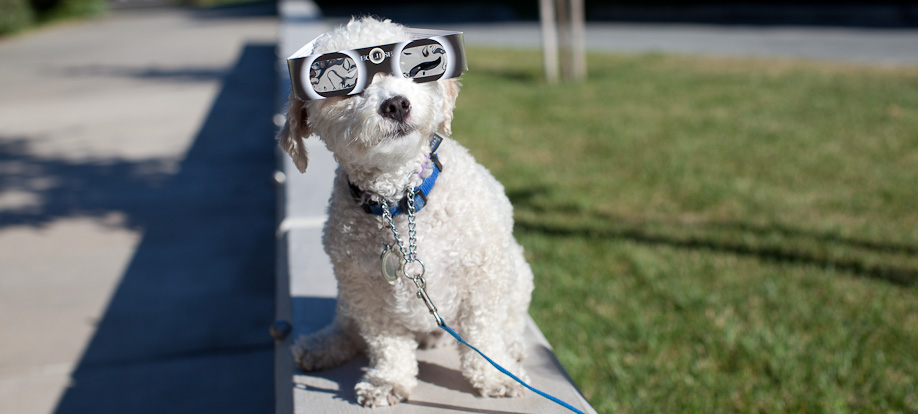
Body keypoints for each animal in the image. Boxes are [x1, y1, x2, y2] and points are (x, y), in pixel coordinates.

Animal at [276, 17, 536, 408]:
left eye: (409, 69)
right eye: (343, 86)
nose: (396, 104)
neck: (400, 200)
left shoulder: (484, 276)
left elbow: (484, 333)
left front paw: (496, 375)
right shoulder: (364, 290)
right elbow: (386, 344)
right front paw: (389, 381)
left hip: (518, 274)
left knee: (511, 319)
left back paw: (514, 346)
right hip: (346, 297)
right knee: (347, 327)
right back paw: (324, 345)